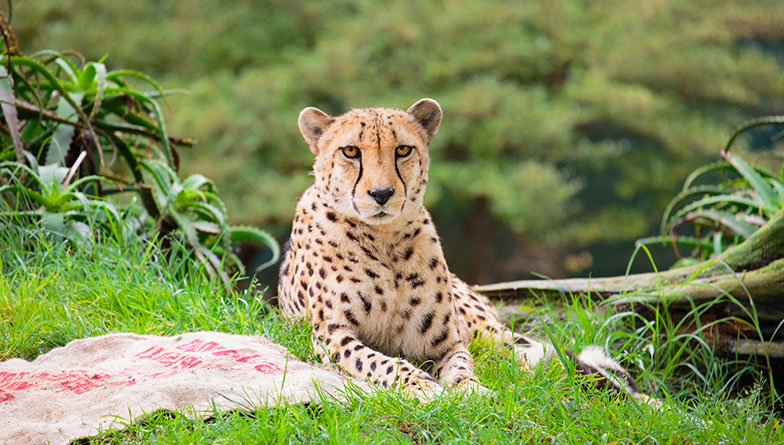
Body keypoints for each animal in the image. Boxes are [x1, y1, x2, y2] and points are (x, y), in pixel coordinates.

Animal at [278, 98, 655, 403]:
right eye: (351, 152)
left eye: (403, 150)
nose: (382, 194)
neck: (385, 242)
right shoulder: (331, 335)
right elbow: (379, 361)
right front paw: (424, 387)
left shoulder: (448, 342)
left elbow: (462, 366)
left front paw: (469, 389)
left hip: (494, 336)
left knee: (562, 365)